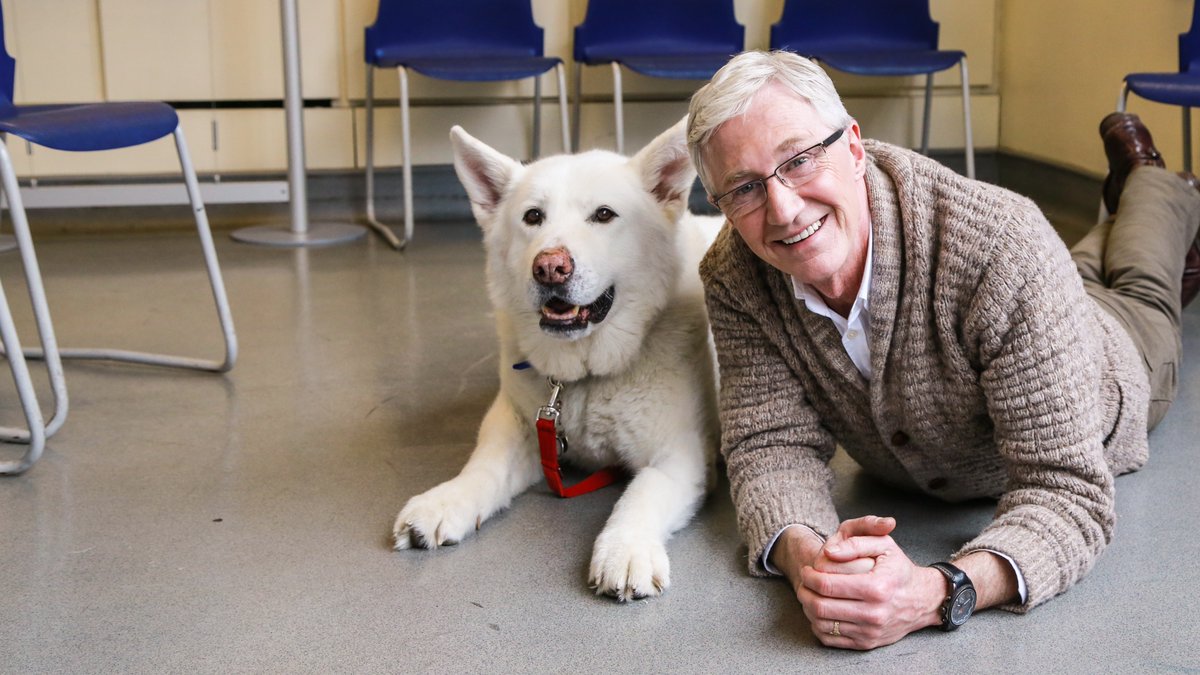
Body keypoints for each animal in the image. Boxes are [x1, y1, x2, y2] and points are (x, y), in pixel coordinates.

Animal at [396, 117, 720, 598]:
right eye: (533, 217)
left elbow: (641, 495)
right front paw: (446, 500)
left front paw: (625, 548)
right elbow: (483, 468)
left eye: (604, 215)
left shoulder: (681, 456)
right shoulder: (518, 426)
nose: (550, 267)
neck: (585, 377)